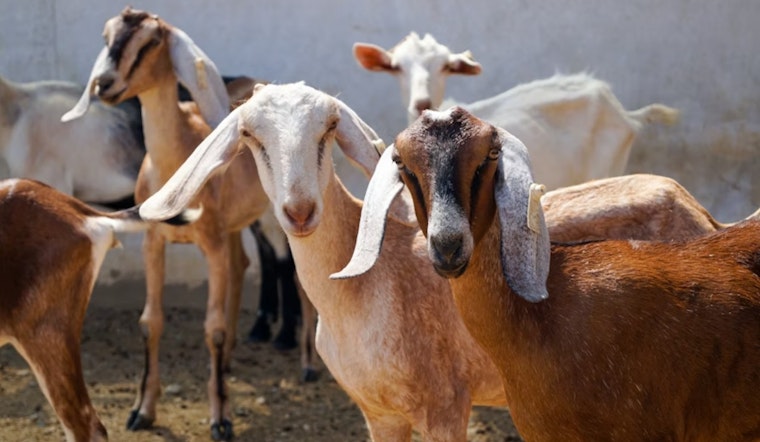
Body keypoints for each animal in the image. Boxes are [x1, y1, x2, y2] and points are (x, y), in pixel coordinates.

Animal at [62, 7, 272, 440]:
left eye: (152, 41)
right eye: (107, 35)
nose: (105, 83)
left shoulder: (210, 245)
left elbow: (212, 329)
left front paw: (221, 419)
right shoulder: (153, 242)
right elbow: (150, 321)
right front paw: (142, 411)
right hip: (232, 230)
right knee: (241, 266)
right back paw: (228, 363)